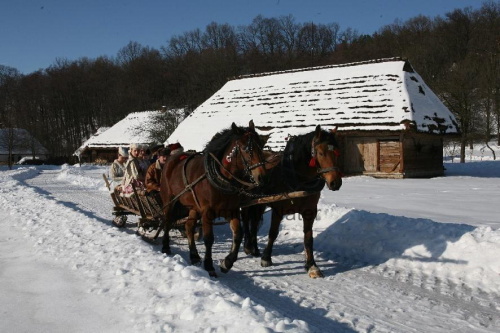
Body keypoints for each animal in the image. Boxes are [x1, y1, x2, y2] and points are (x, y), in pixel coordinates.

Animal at [160, 120, 270, 276]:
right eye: (245, 148)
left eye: (260, 147)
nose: (262, 177)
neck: (222, 178)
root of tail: (171, 159)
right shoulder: (207, 212)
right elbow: (208, 239)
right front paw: (209, 265)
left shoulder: (231, 211)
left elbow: (238, 234)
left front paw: (227, 263)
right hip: (169, 201)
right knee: (167, 222)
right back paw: (165, 247)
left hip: (194, 207)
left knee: (189, 226)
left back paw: (194, 256)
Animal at [241, 124, 342, 278]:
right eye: (320, 153)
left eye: (337, 152)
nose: (335, 183)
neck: (298, 178)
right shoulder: (278, 210)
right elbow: (273, 233)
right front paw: (266, 258)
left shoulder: (309, 211)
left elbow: (308, 238)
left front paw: (311, 266)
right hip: (249, 200)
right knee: (246, 219)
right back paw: (248, 247)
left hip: (260, 203)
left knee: (255, 221)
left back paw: (255, 248)